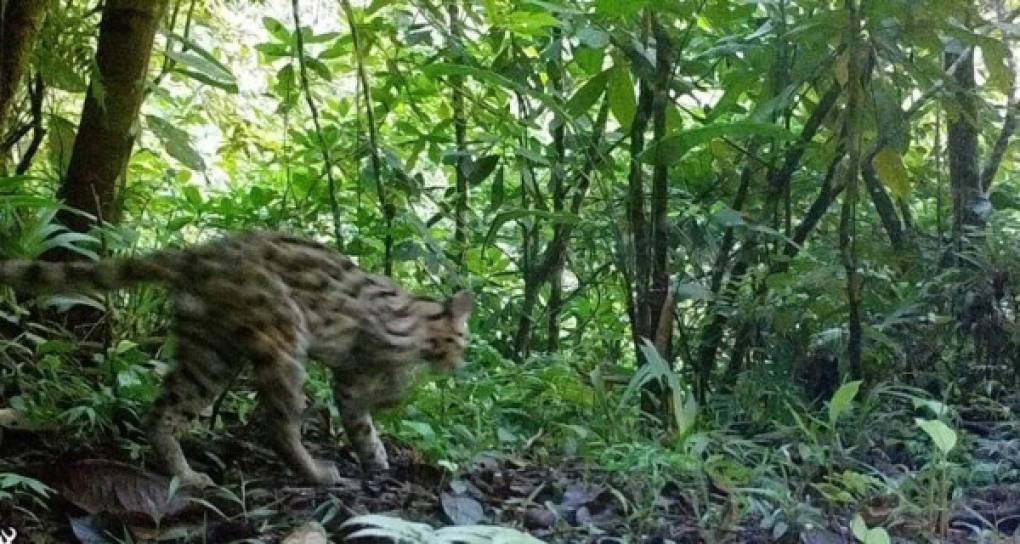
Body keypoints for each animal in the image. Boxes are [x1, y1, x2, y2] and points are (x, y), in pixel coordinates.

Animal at [0, 231, 475, 485]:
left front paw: (376, 458)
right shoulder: (365, 349)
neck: (420, 316)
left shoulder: (353, 377)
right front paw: (395, 400)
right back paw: (316, 474)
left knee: (160, 414)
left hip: (209, 352)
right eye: (464, 342)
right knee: (278, 427)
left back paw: (185, 476)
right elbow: (379, 392)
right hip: (283, 336)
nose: (459, 365)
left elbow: (362, 423)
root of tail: (199, 254)